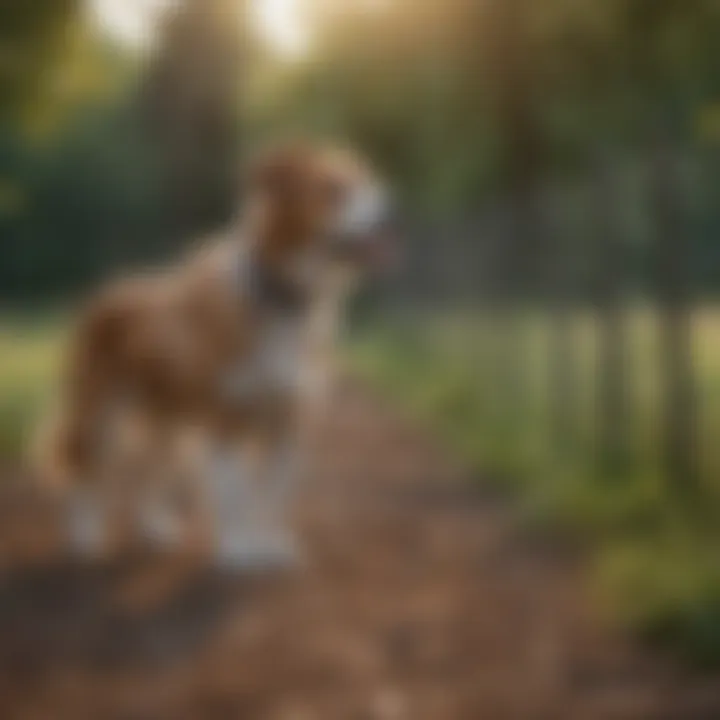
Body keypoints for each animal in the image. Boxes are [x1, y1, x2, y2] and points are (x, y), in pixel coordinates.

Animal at [33, 142, 390, 568]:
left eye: (367, 183)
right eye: (333, 190)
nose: (390, 211)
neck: (281, 297)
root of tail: (103, 292)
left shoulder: (287, 420)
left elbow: (272, 493)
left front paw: (269, 543)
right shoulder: (227, 416)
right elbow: (233, 492)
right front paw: (237, 551)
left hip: (167, 421)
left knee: (149, 470)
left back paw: (155, 528)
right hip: (101, 410)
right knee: (83, 471)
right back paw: (84, 537)